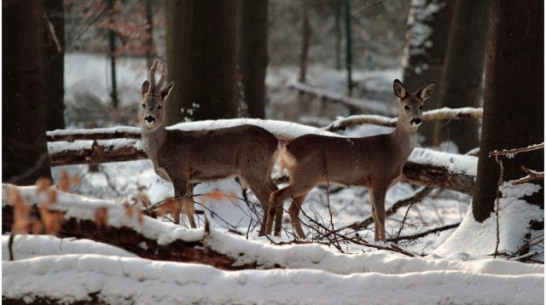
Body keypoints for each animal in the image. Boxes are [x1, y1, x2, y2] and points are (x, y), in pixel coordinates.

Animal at [138, 60, 282, 235]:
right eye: (143, 104)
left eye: (159, 106)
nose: (149, 118)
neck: (162, 148)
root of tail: (276, 141)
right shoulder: (189, 179)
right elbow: (190, 209)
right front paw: (194, 230)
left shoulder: (179, 172)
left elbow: (178, 208)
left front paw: (176, 227)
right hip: (264, 170)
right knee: (276, 192)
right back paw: (276, 233)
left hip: (252, 167)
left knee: (267, 199)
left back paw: (263, 234)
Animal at [264, 78, 434, 240]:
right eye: (406, 106)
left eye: (421, 106)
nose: (416, 120)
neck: (394, 149)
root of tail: (287, 147)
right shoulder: (379, 178)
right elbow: (381, 216)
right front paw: (384, 243)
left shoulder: (371, 184)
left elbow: (374, 215)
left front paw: (376, 242)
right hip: (306, 176)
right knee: (276, 196)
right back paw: (270, 235)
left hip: (306, 177)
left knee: (292, 208)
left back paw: (298, 238)